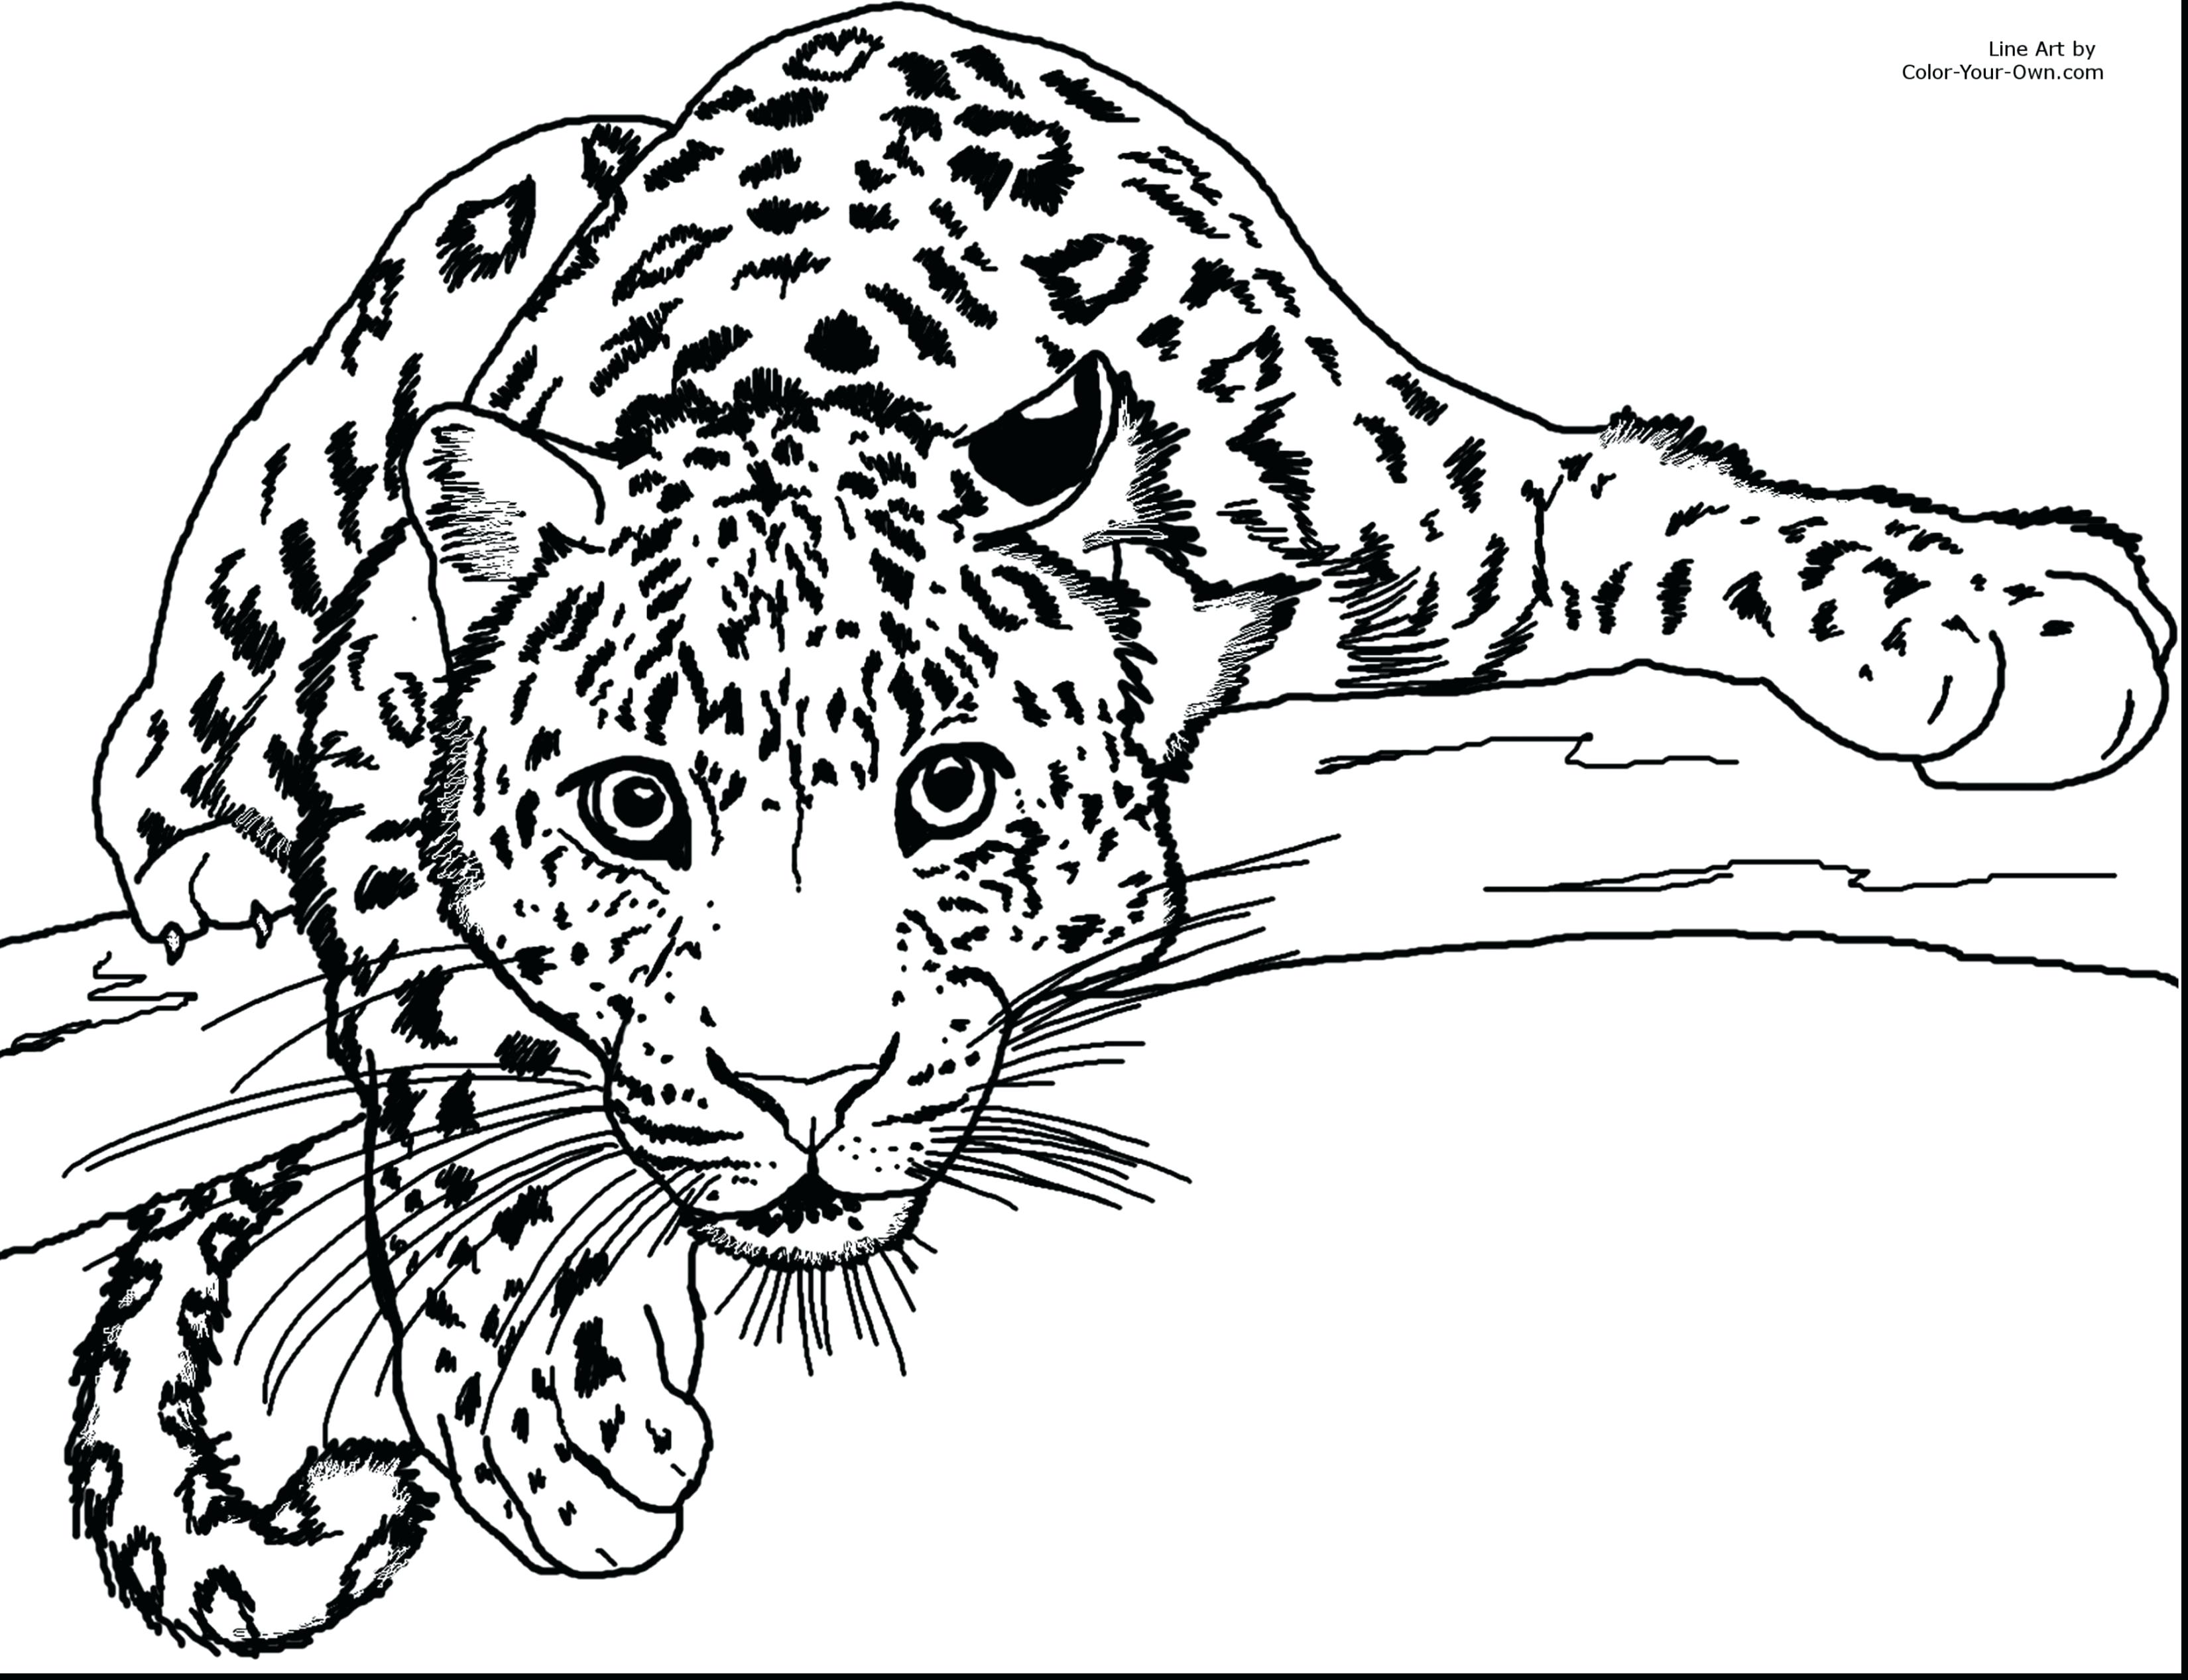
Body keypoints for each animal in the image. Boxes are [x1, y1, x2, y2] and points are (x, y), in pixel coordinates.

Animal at [68, 3, 2173, 1652]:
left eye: (947, 790)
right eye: (633, 810)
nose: (802, 1090)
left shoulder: (1450, 505)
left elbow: (1691, 518)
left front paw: (2009, 611)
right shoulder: (376, 685)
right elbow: (443, 1017)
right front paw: (550, 1394)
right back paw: (192, 843)